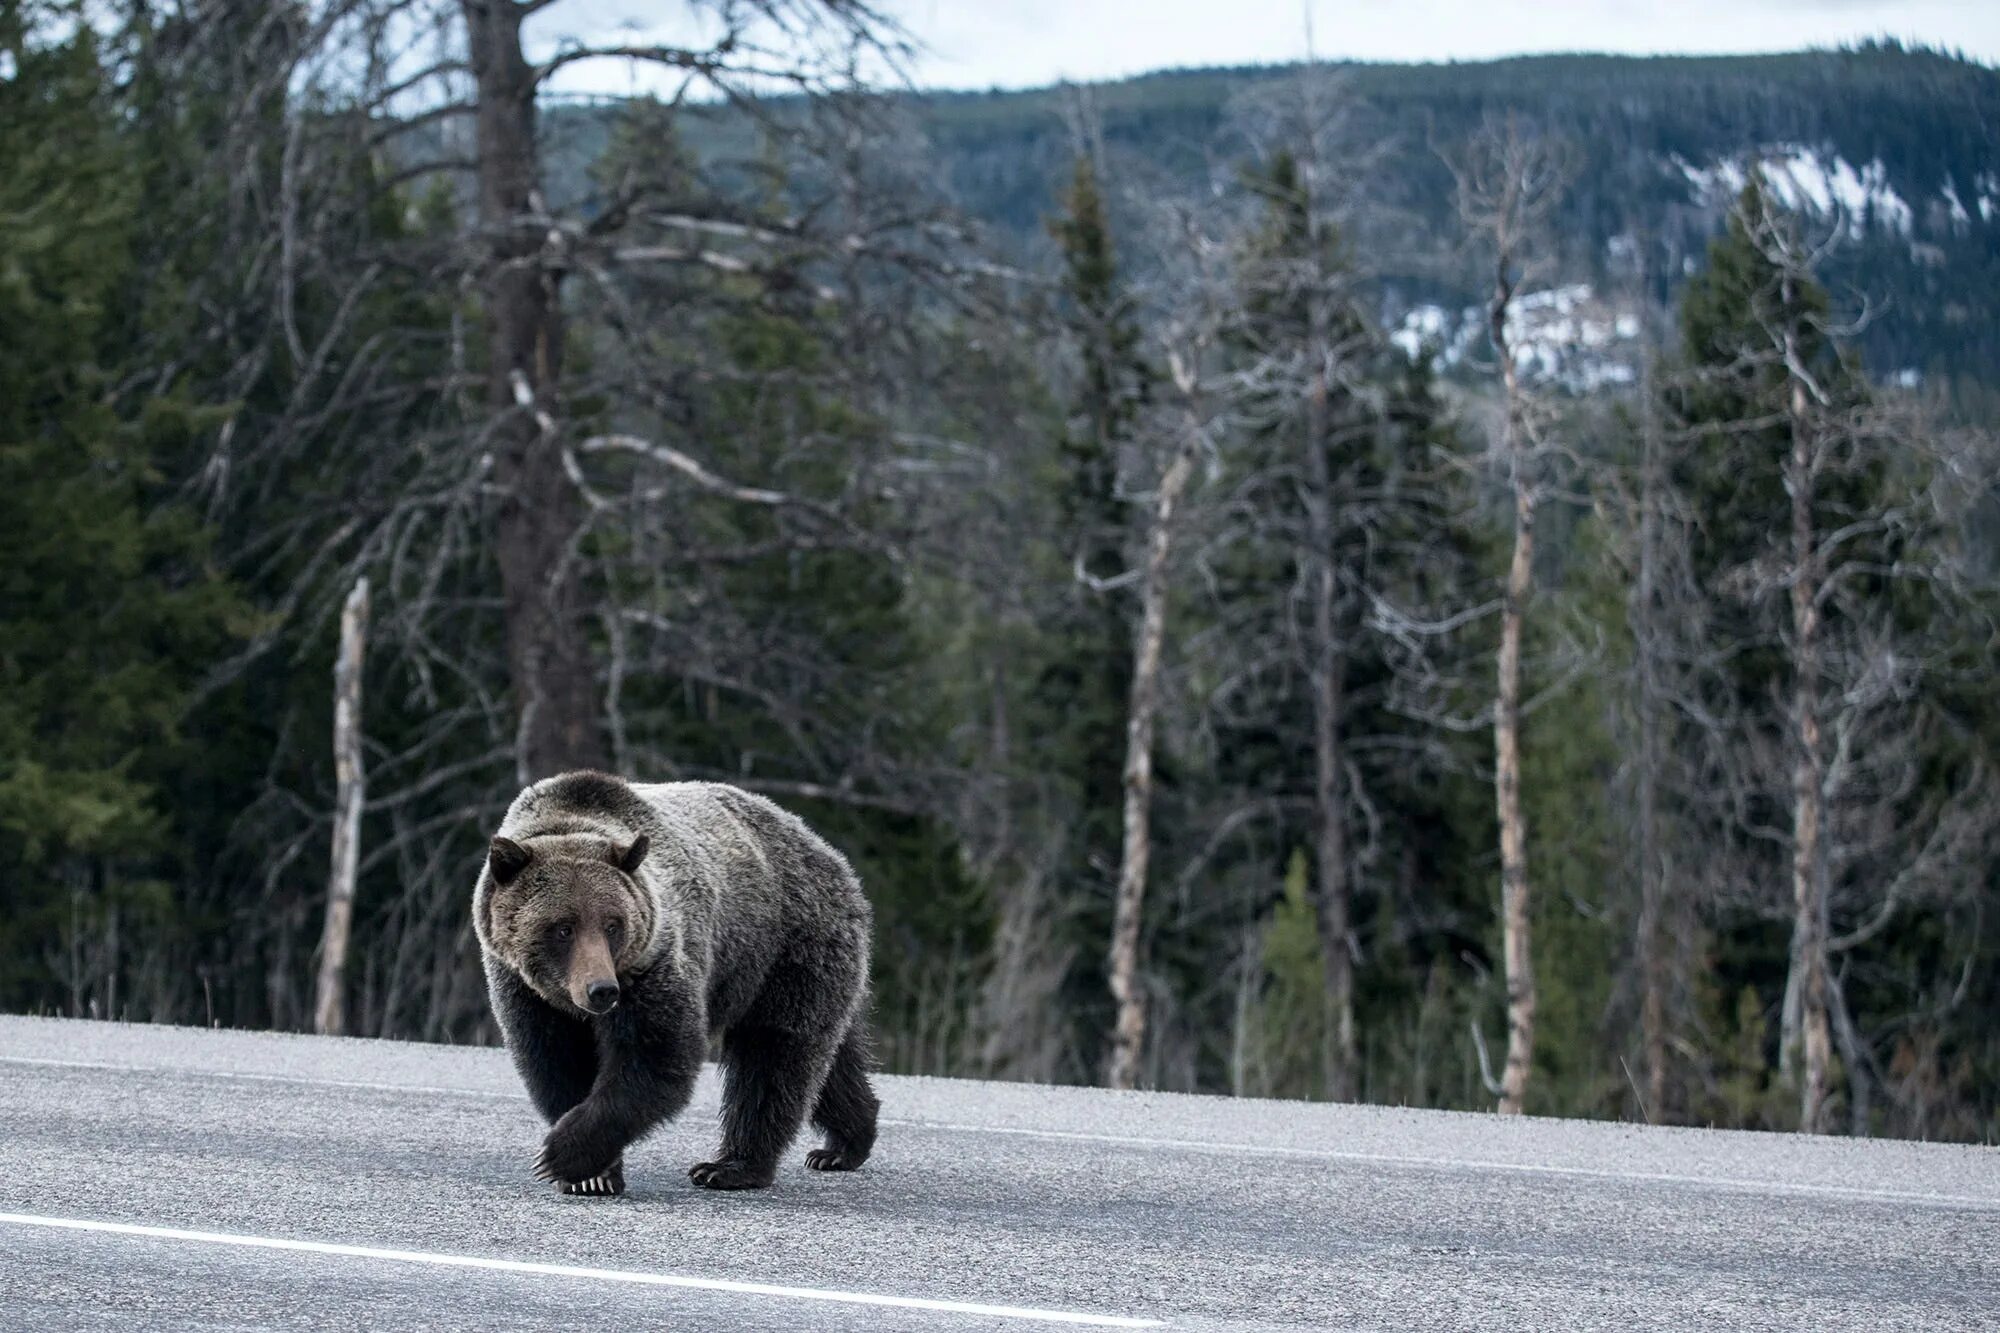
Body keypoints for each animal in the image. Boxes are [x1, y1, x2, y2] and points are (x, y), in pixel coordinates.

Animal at [472, 768, 880, 1192]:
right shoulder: (524, 988)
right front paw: (594, 1175)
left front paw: (562, 1157)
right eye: (563, 928)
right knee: (831, 1063)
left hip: (784, 950)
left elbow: (657, 1056)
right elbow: (557, 1060)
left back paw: (731, 1166)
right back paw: (844, 1144)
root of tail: (831, 856)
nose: (602, 991)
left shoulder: (654, 962)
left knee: (773, 1055)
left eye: (613, 924)